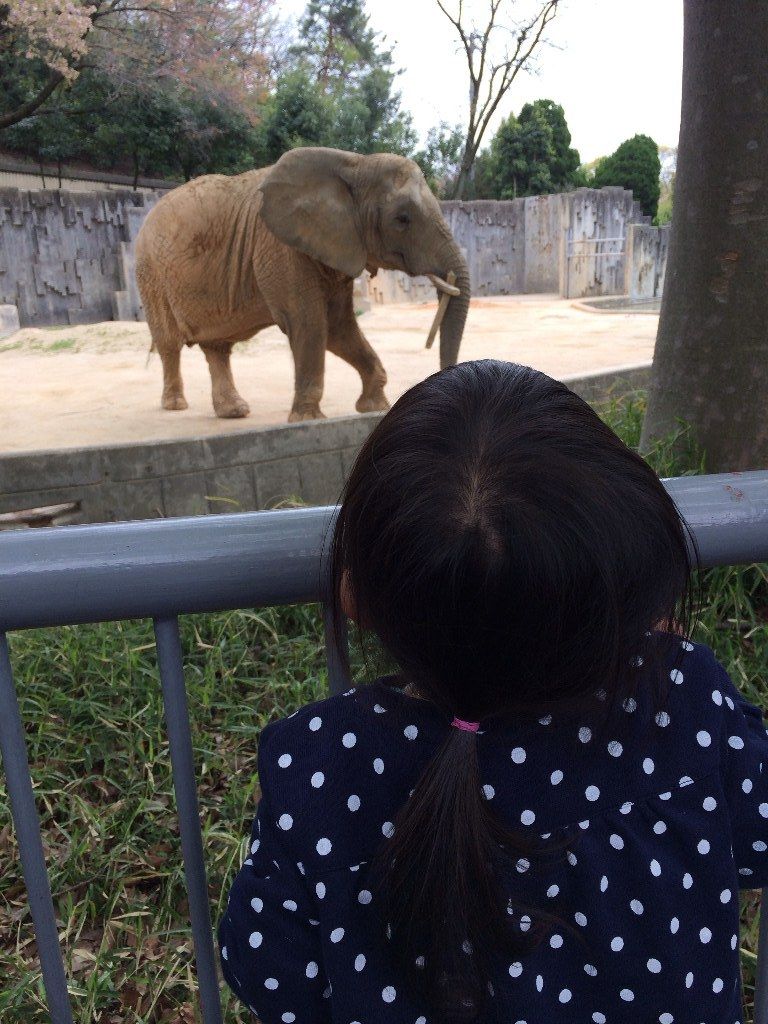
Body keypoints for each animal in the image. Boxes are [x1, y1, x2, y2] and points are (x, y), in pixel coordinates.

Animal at [134, 147, 470, 421]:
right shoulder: (280, 247)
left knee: (217, 347)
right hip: (149, 271)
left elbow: (338, 326)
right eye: (402, 219)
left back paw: (234, 412)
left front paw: (375, 407)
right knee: (169, 341)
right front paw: (308, 420)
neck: (355, 163)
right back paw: (176, 405)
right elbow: (310, 322)